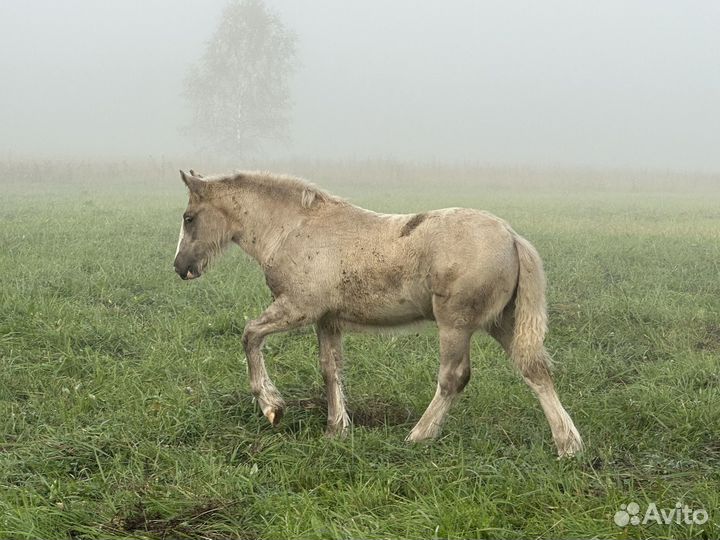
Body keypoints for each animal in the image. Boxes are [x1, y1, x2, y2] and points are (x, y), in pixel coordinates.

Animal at [174, 169, 584, 456]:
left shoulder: (298, 309)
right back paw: (568, 445)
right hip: (502, 321)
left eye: (188, 217)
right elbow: (331, 370)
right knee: (534, 369)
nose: (180, 267)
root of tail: (512, 238)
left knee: (454, 377)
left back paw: (419, 436)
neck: (293, 229)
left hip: (455, 324)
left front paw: (272, 406)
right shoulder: (328, 320)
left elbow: (250, 334)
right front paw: (337, 429)